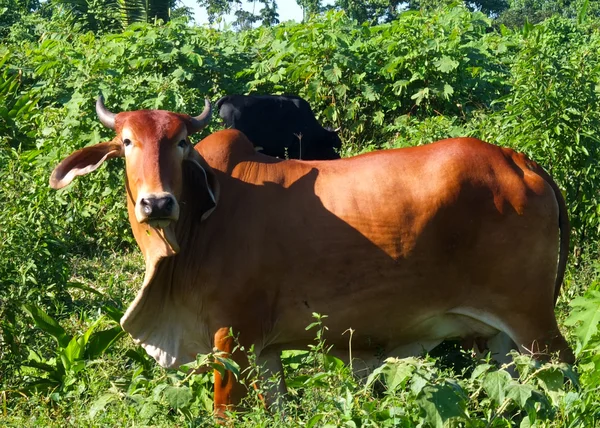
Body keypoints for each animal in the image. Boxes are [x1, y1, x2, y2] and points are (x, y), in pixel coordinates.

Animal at [49, 97, 576, 418]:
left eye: (180, 143)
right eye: (126, 143)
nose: (157, 203)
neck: (195, 230)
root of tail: (519, 160)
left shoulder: (232, 339)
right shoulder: (265, 351)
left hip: (534, 324)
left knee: (564, 377)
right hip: (499, 340)